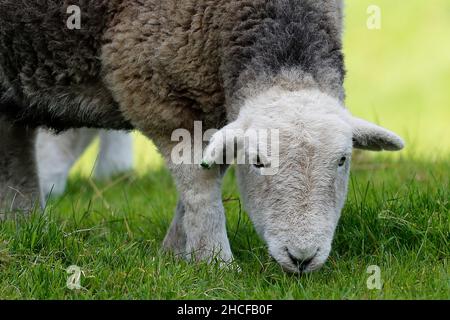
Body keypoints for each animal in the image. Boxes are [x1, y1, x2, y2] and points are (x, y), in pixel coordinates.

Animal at [0, 0, 402, 274]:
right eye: (258, 161)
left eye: (342, 160)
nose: (302, 258)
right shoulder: (155, 93)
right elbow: (198, 180)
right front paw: (214, 262)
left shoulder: (217, 104)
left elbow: (209, 171)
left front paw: (177, 253)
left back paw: (21, 225)